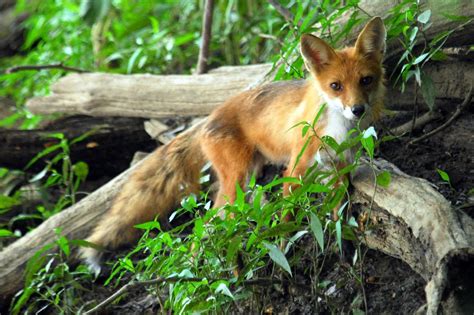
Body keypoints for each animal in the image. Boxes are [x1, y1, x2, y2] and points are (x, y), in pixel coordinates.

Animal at [79, 16, 386, 272]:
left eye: (366, 80)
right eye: (336, 86)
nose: (357, 109)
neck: (336, 129)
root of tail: (207, 118)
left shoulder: (339, 168)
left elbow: (338, 214)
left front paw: (344, 248)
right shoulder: (295, 168)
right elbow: (287, 217)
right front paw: (283, 256)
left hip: (247, 178)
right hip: (235, 182)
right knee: (208, 225)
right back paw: (208, 269)